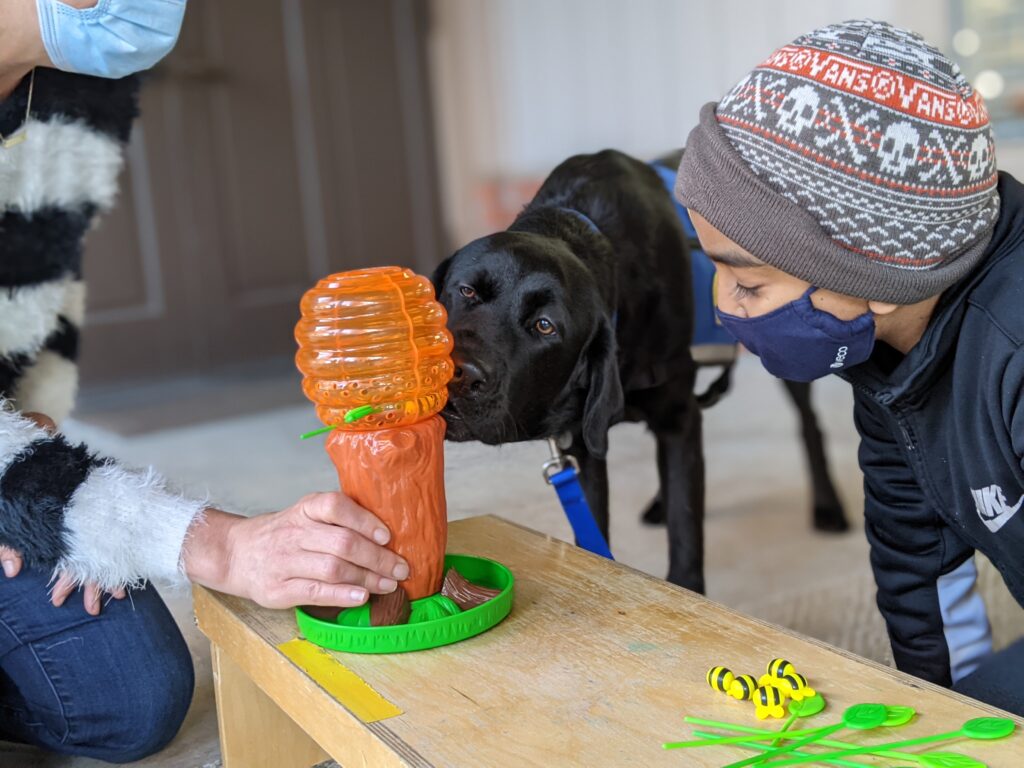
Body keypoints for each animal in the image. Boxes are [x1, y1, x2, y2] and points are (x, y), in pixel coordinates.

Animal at [434, 151, 847, 593]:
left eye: (545, 326)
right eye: (466, 290)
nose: (462, 373)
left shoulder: (678, 418)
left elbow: (686, 530)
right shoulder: (585, 442)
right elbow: (595, 534)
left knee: (809, 424)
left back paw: (829, 506)